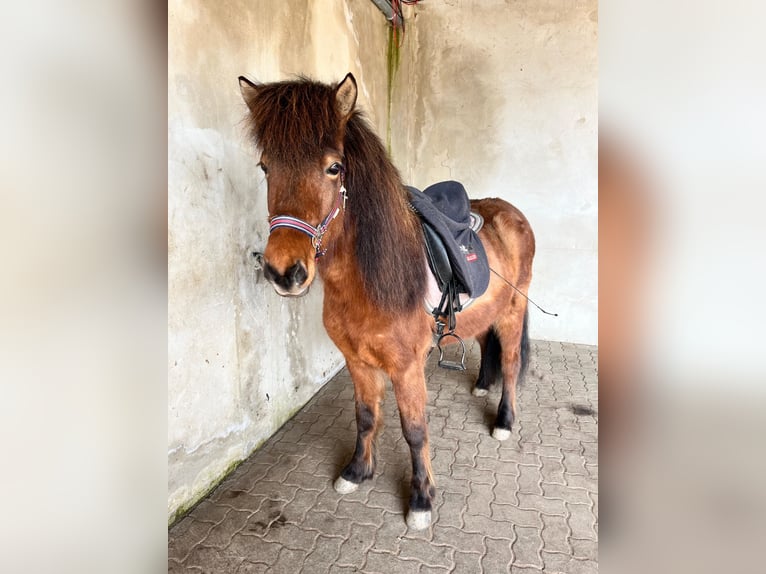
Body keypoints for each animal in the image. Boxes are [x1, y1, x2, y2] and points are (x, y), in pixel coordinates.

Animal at [238, 74, 536, 532]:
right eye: (265, 166)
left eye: (334, 167)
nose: (283, 271)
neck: (367, 283)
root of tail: (512, 212)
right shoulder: (358, 361)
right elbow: (365, 417)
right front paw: (357, 472)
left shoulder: (407, 368)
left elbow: (414, 430)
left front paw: (421, 500)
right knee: (487, 343)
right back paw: (482, 385)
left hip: (513, 311)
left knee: (511, 362)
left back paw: (503, 420)